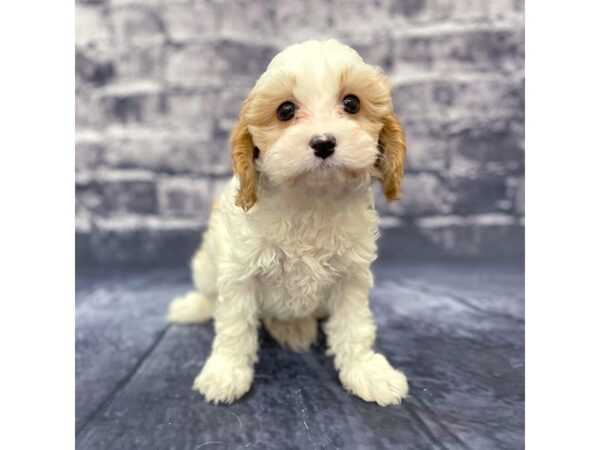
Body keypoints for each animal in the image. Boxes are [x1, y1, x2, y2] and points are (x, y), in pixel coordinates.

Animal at [171, 37, 410, 404]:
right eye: (285, 110)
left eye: (352, 103)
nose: (323, 142)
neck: (311, 198)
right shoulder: (239, 274)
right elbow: (234, 325)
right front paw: (226, 372)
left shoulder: (351, 277)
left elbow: (354, 325)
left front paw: (366, 371)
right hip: (206, 266)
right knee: (210, 297)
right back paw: (193, 307)